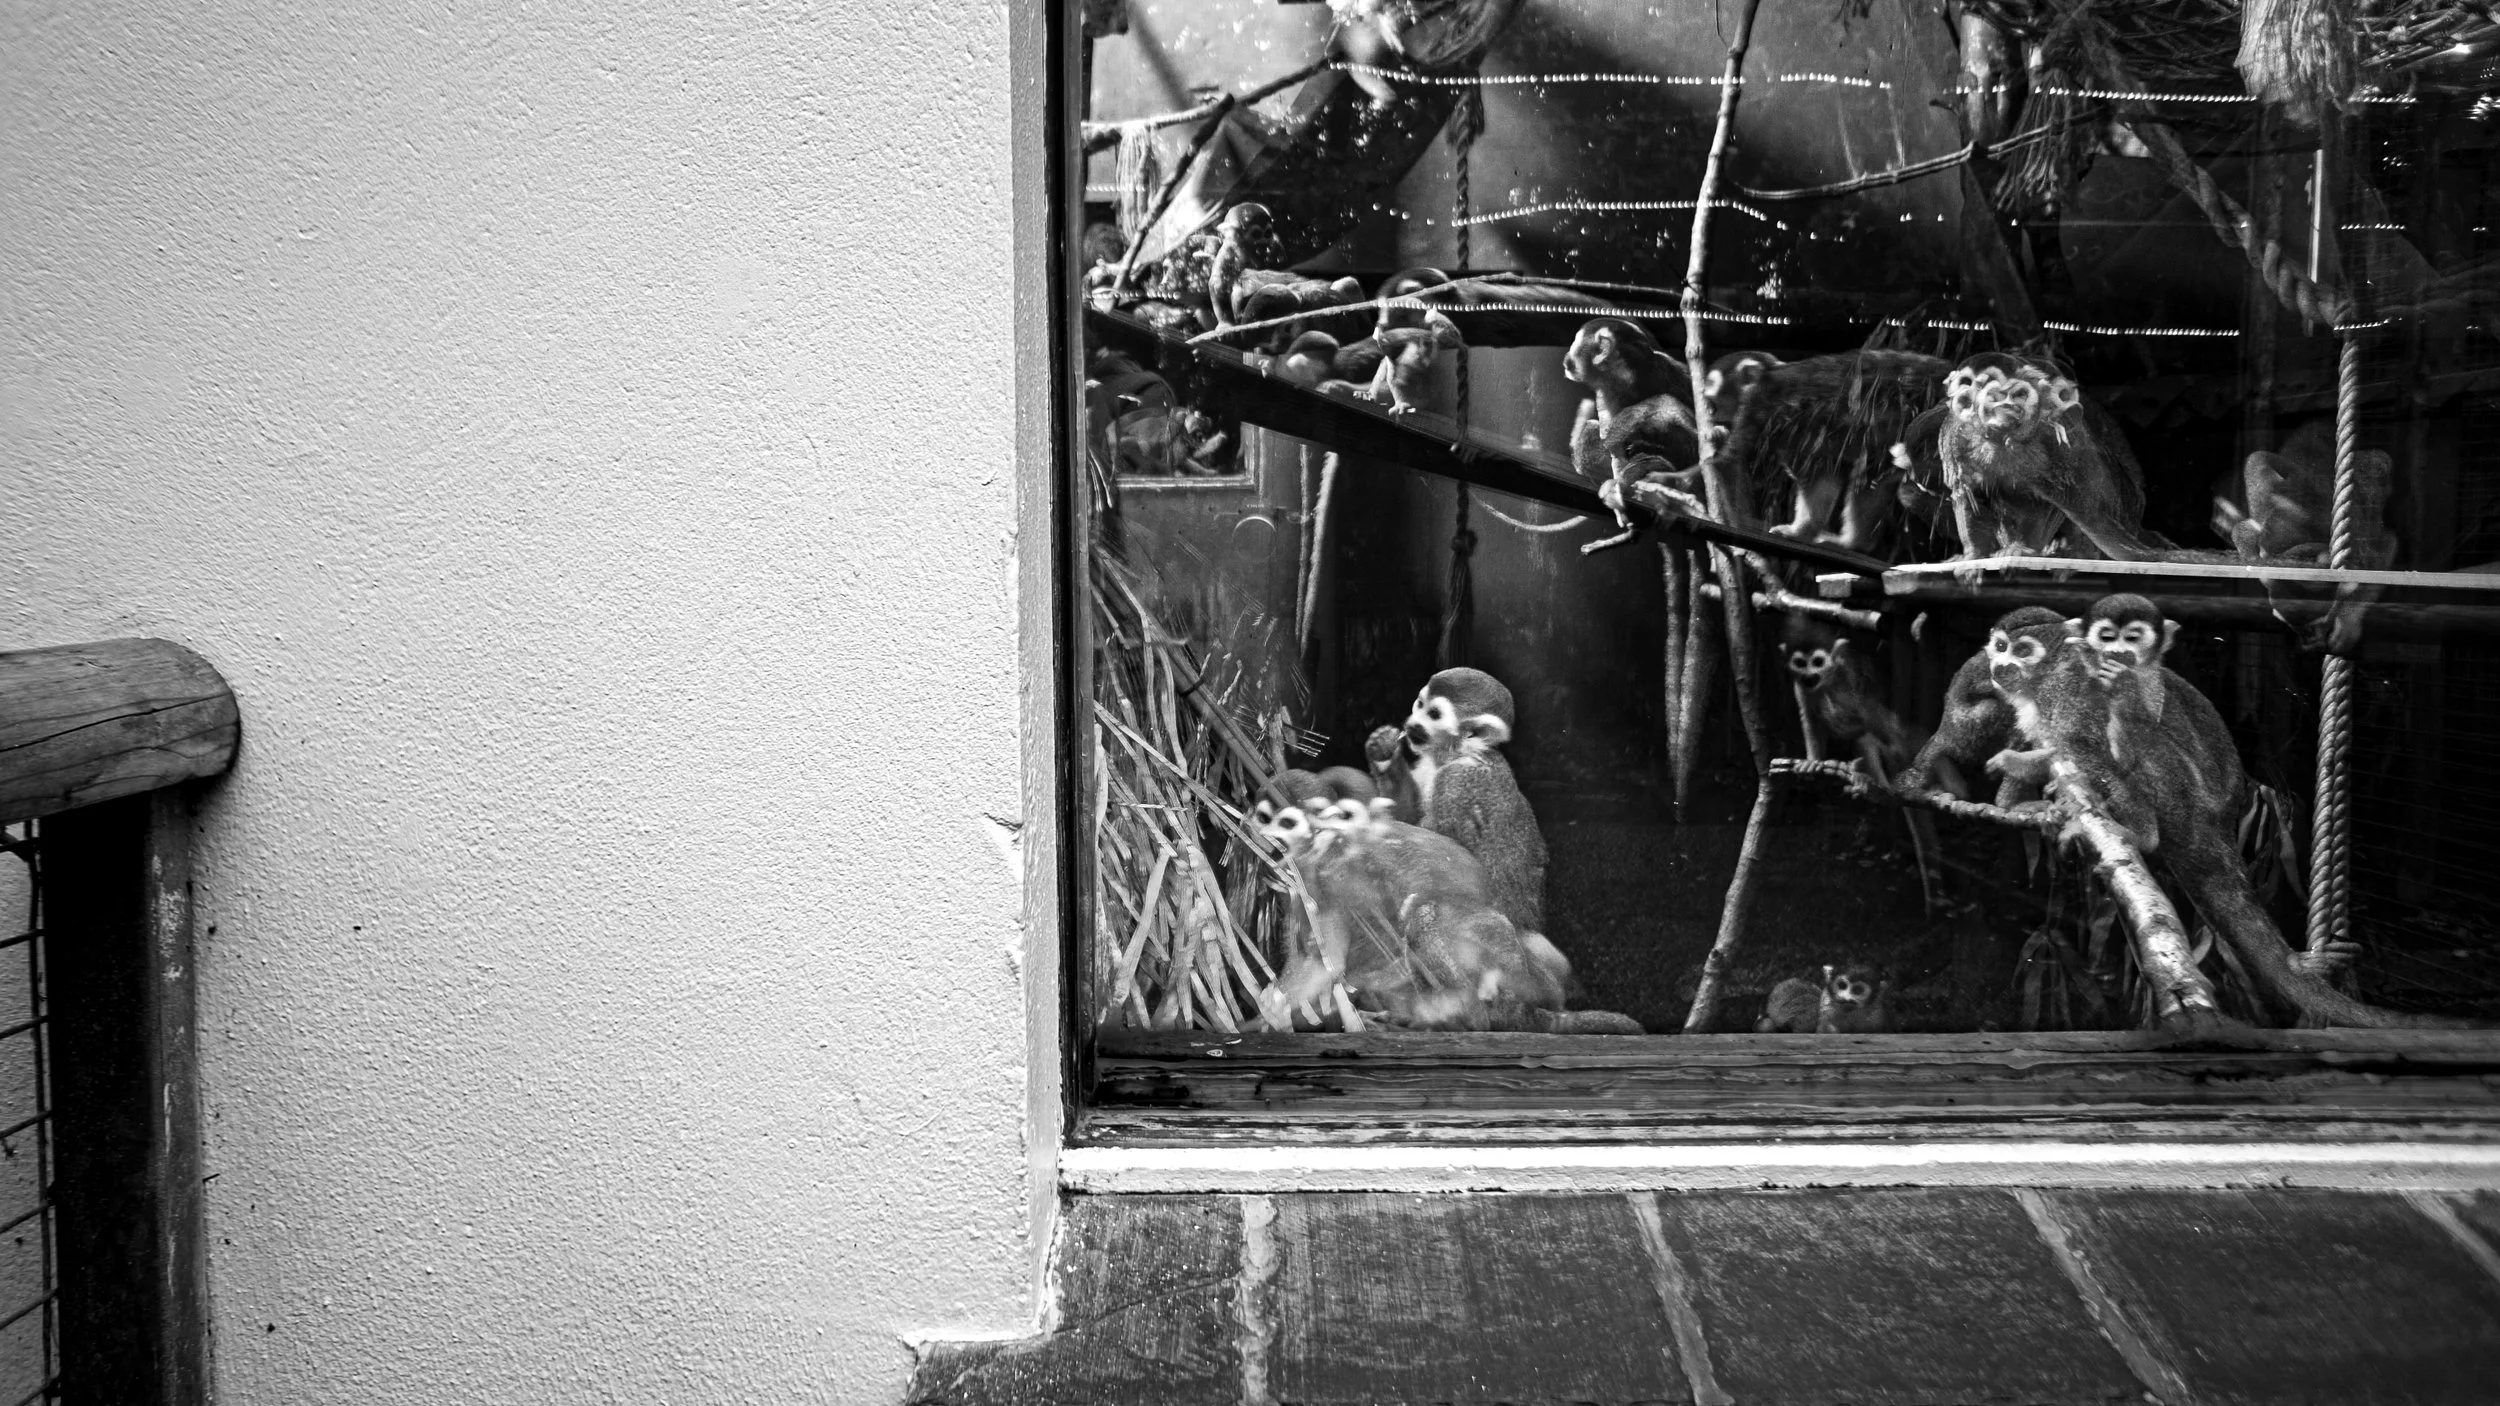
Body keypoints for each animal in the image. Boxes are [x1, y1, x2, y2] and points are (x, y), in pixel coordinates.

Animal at [1707, 349, 1953, 551]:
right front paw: (1802, 533)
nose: (1709, 416)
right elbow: (1822, 476)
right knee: (1873, 471)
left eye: (1712, 404)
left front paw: (1743, 528)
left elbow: (1730, 462)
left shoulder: (1758, 401)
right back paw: (1855, 544)